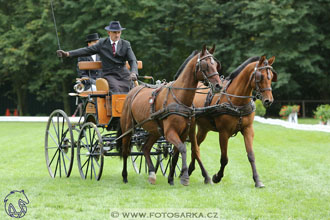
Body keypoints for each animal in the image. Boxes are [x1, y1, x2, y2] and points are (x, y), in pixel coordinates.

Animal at [116, 44, 222, 186]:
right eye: (205, 65)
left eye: (216, 64)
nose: (218, 86)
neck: (179, 98)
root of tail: (132, 91)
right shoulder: (170, 132)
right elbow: (183, 149)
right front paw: (184, 177)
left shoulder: (186, 132)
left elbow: (186, 152)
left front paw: (172, 178)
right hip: (128, 128)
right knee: (125, 150)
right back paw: (125, 176)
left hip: (155, 131)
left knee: (145, 148)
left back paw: (152, 174)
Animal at [187, 55, 278, 187]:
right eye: (260, 76)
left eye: (271, 76)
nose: (268, 100)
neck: (236, 102)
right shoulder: (223, 133)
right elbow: (224, 159)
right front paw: (217, 177)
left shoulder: (248, 129)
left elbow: (251, 155)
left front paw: (257, 180)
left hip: (203, 129)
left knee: (195, 147)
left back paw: (190, 169)